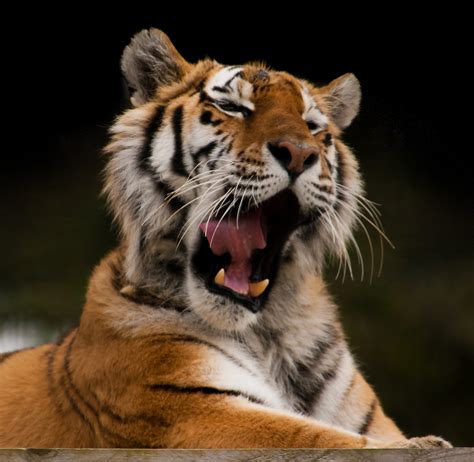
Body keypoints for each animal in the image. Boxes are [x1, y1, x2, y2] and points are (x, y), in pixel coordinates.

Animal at [0, 28, 452, 448]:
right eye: (233, 107)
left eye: (313, 127)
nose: (300, 152)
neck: (270, 335)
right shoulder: (193, 410)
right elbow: (317, 438)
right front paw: (428, 443)